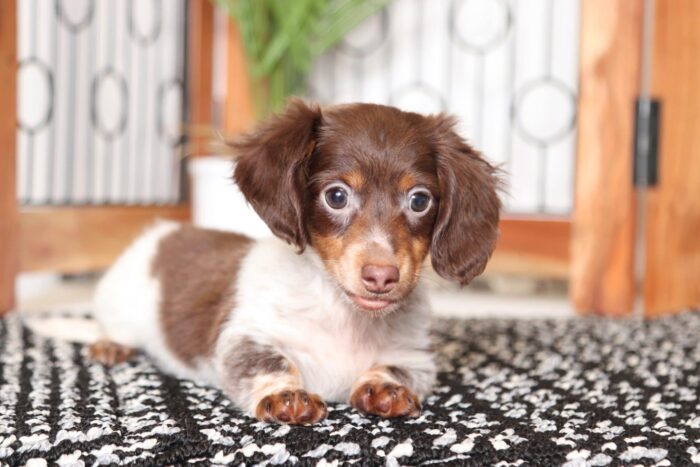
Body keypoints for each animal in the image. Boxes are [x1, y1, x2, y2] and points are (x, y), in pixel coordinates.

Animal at [90, 100, 500, 426]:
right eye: (336, 196)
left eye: (419, 200)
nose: (382, 276)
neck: (344, 315)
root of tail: (162, 231)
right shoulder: (244, 334)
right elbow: (268, 362)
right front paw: (285, 396)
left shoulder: (415, 355)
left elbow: (398, 368)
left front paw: (385, 386)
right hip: (119, 303)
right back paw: (111, 345)